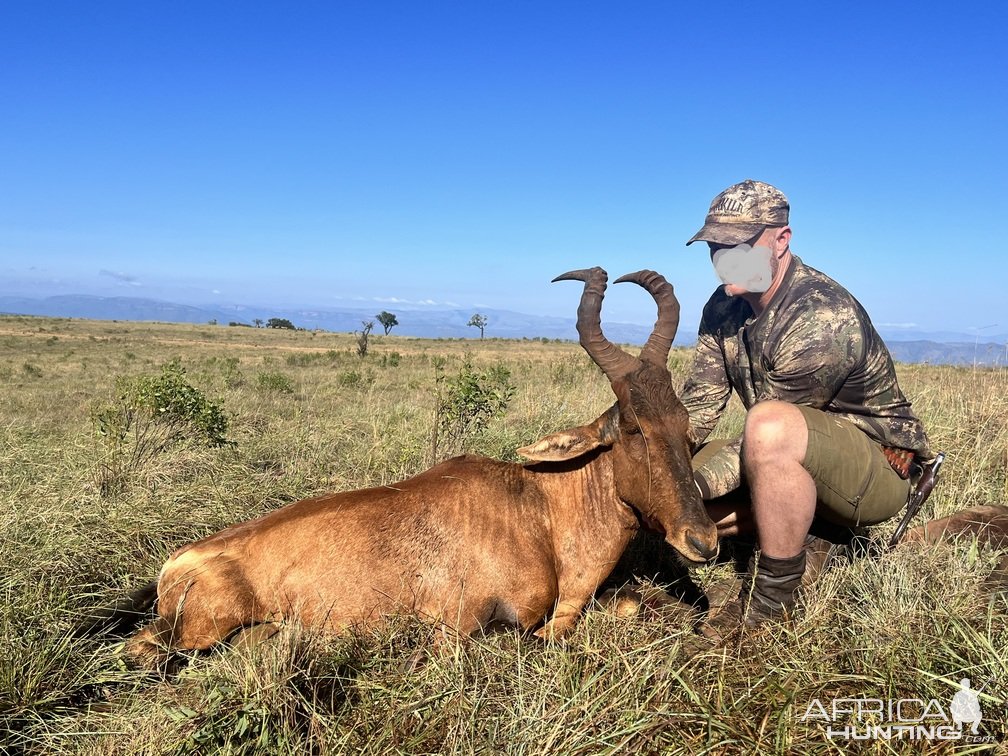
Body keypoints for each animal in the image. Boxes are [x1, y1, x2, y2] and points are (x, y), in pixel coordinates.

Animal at [90, 268, 721, 669]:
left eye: (686, 426)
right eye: (632, 429)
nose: (703, 541)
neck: (537, 508)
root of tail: (174, 563)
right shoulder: (463, 631)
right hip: (192, 631)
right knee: (144, 650)